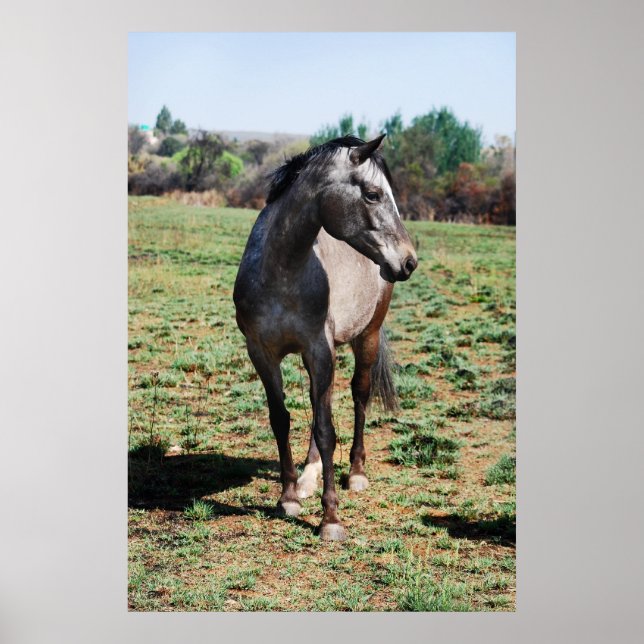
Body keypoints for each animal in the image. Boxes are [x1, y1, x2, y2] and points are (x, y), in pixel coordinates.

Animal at [233, 134, 417, 541]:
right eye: (373, 194)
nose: (409, 261)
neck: (283, 271)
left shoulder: (319, 351)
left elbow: (326, 430)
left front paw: (330, 518)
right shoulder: (262, 353)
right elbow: (282, 419)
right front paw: (288, 497)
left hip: (367, 336)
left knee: (359, 395)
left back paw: (356, 473)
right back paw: (307, 477)